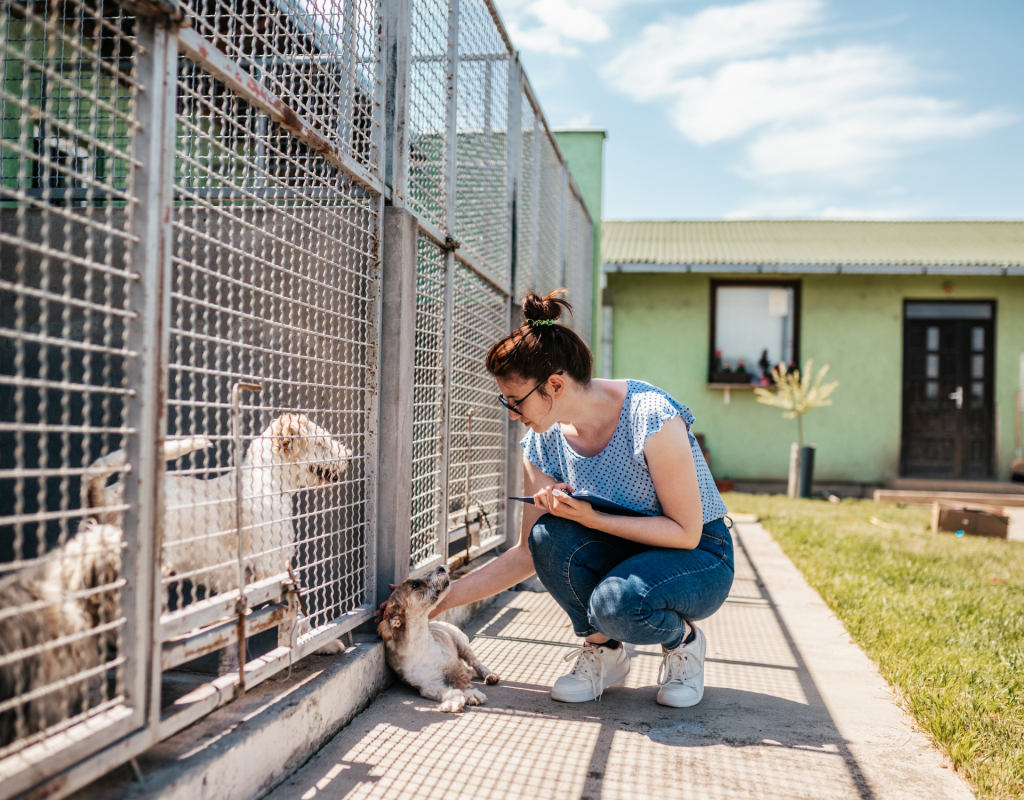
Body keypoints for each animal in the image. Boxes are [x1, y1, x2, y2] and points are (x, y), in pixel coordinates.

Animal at [378, 565, 501, 712]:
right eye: (415, 585)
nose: (441, 567)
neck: (420, 643)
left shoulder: (454, 665)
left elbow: (461, 681)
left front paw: (470, 693)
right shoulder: (428, 684)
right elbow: (445, 691)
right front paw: (453, 701)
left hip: (462, 645)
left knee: (476, 663)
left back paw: (490, 676)